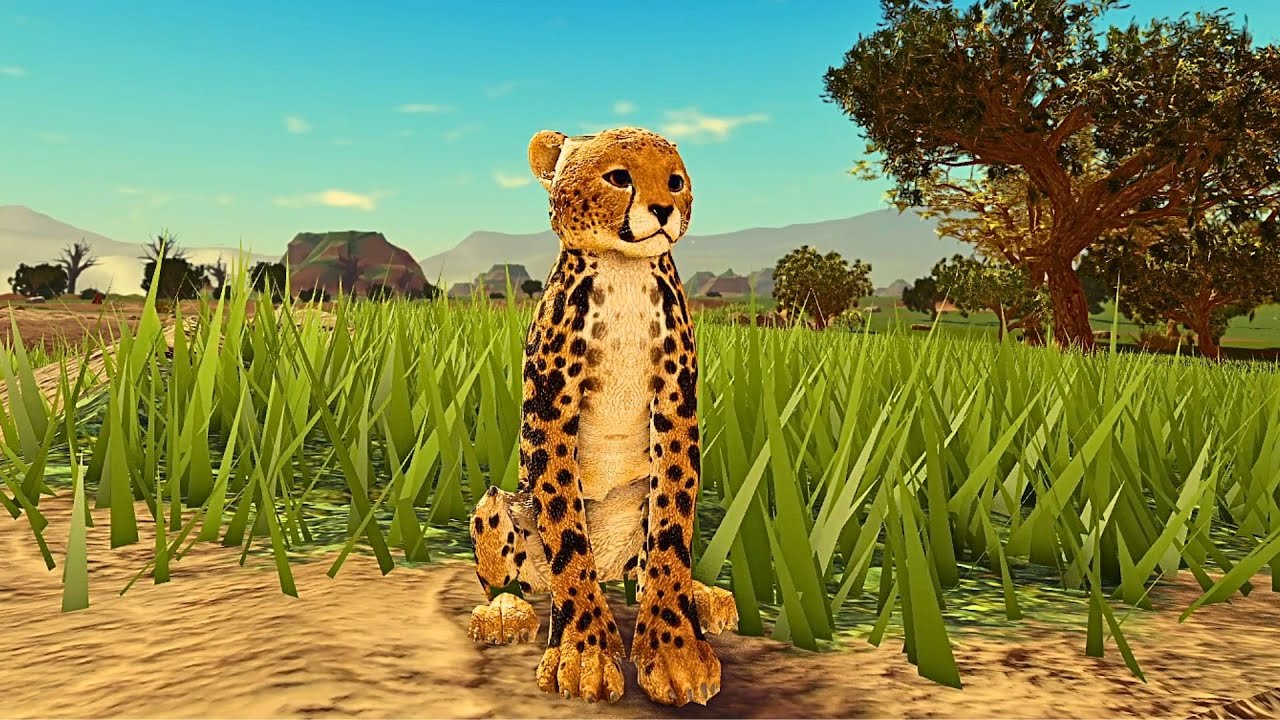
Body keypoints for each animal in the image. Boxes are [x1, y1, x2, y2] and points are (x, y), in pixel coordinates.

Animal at [465, 127, 739, 707]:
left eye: (675, 181)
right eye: (618, 177)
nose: (663, 209)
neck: (623, 270)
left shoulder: (675, 405)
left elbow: (673, 530)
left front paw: (676, 652)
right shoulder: (550, 413)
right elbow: (568, 539)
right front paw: (584, 653)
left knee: (648, 565)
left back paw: (703, 597)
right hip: (498, 505)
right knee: (520, 578)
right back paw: (504, 612)